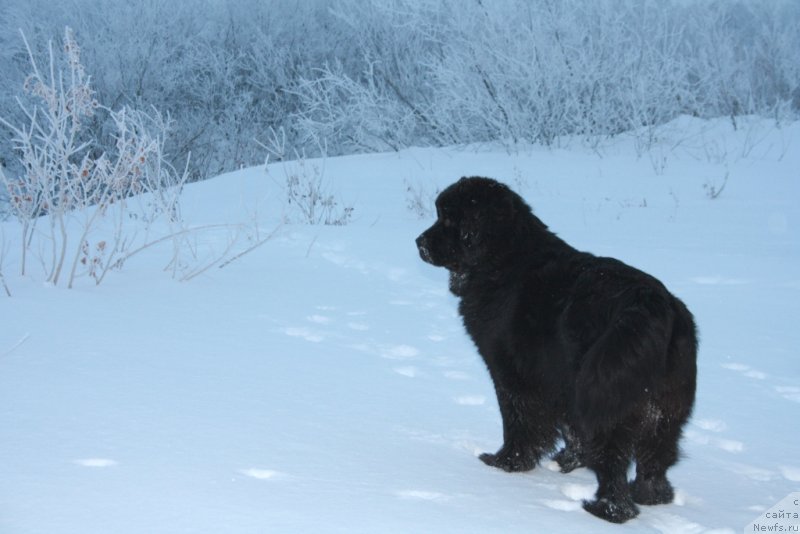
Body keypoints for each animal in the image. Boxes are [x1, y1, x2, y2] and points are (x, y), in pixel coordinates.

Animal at [416, 178, 696, 524]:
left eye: (449, 219)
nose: (419, 242)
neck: (503, 260)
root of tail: (652, 305)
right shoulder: (561, 383)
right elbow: (568, 428)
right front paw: (565, 461)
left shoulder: (513, 373)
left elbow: (518, 421)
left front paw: (506, 463)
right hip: (665, 408)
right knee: (655, 458)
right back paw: (651, 496)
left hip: (607, 398)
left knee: (614, 461)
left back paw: (607, 510)